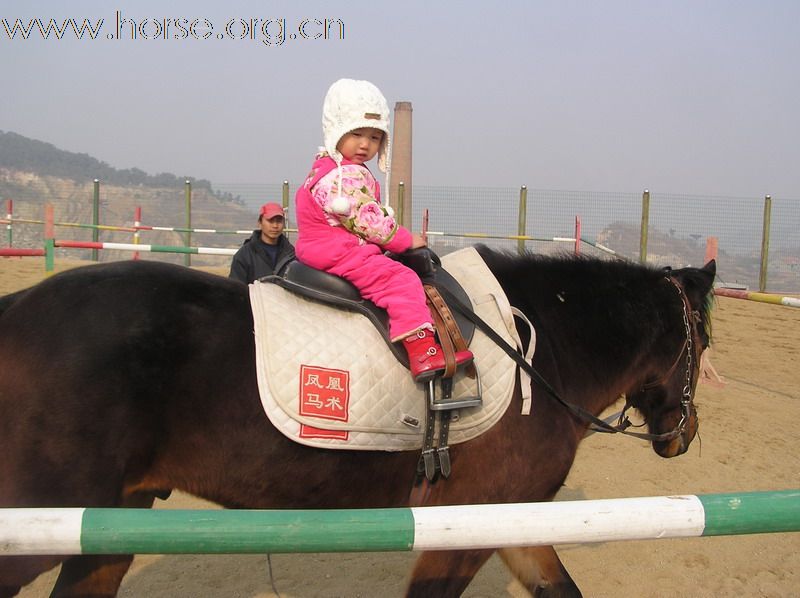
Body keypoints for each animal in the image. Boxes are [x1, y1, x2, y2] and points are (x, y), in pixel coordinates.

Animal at [0, 246, 716, 596]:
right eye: (703, 343)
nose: (683, 436)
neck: (543, 348)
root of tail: (15, 311)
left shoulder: (511, 520)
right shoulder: (465, 528)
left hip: (110, 519)